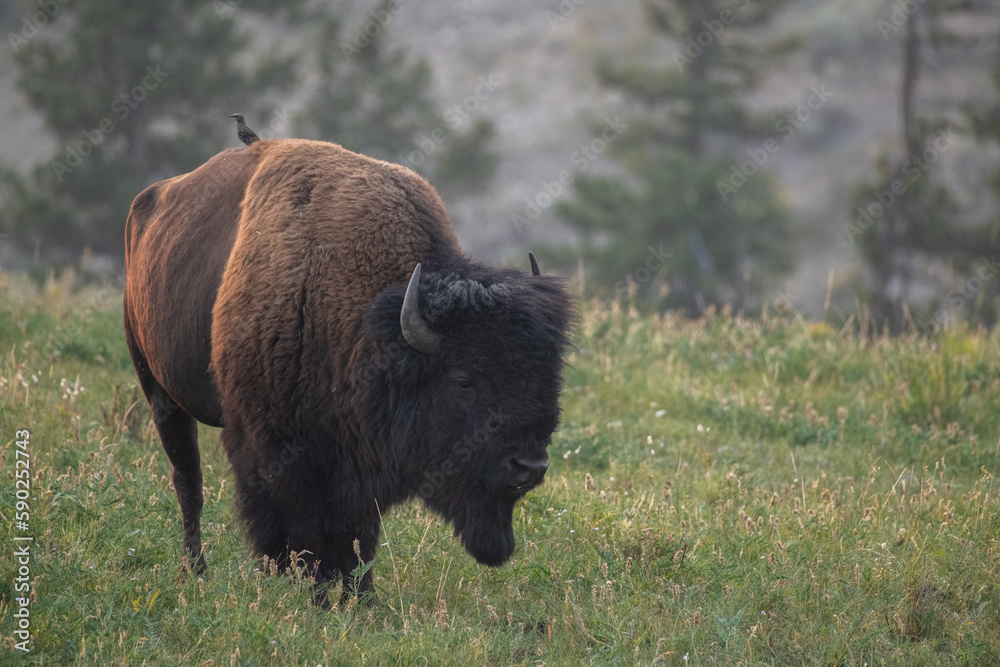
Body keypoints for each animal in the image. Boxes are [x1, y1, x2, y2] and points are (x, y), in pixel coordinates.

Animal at [124, 138, 576, 604]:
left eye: (548, 376)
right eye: (463, 381)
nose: (530, 465)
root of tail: (148, 203)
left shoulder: (358, 461)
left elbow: (359, 536)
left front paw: (363, 600)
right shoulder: (273, 448)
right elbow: (302, 532)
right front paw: (311, 597)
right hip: (159, 392)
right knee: (188, 482)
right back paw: (194, 572)